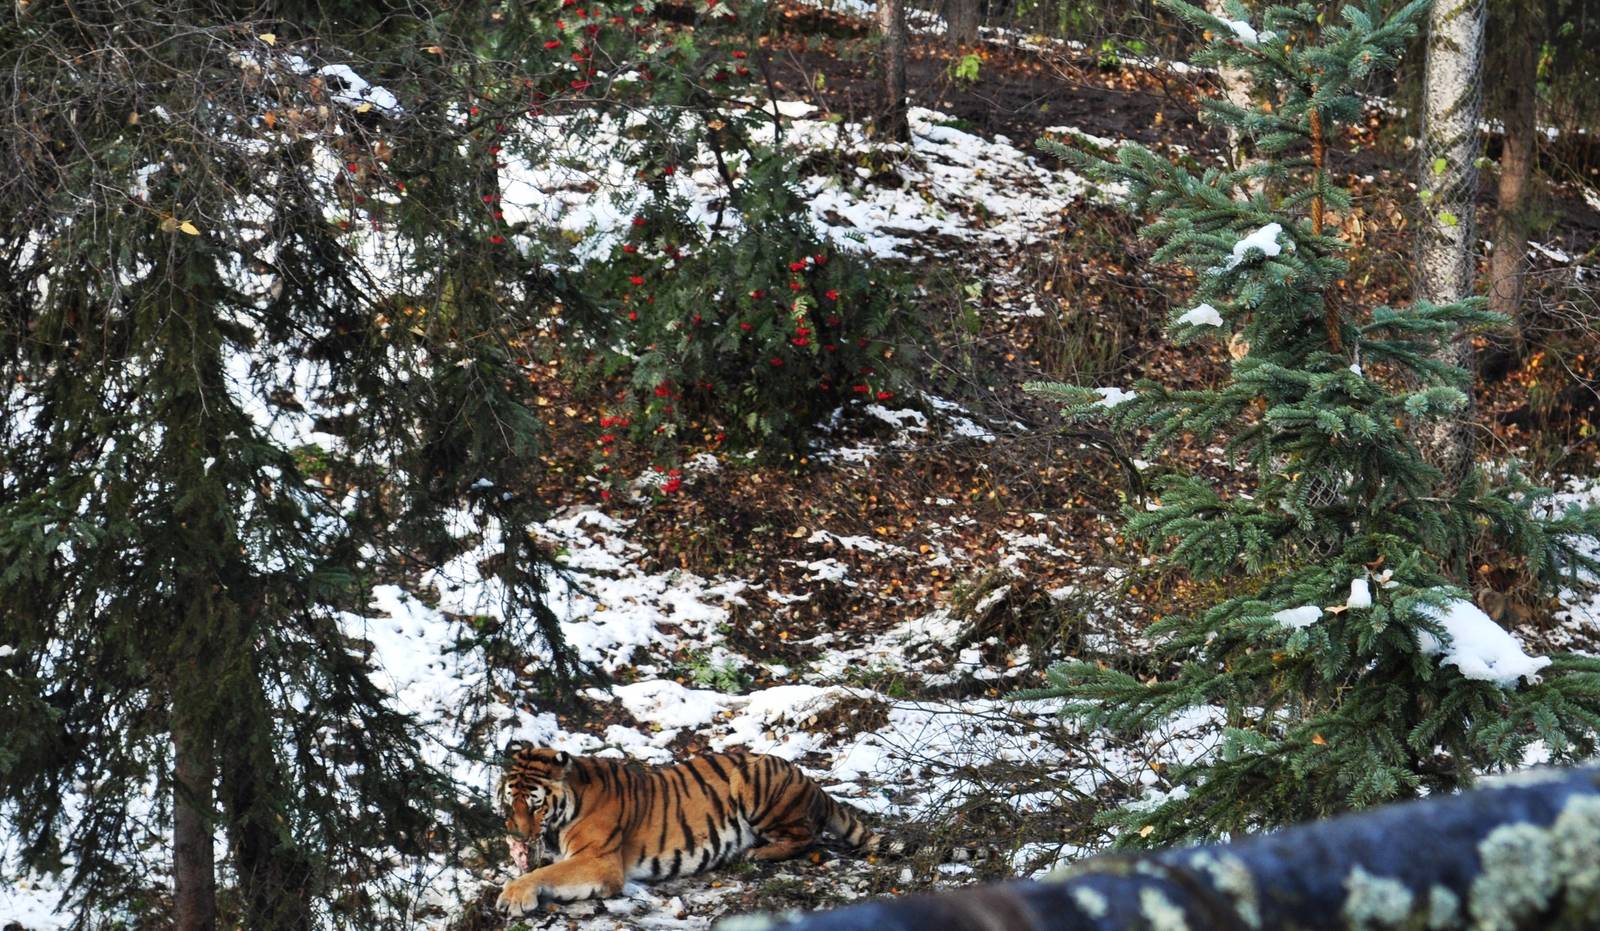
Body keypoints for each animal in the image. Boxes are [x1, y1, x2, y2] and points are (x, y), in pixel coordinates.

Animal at [495, 743, 882, 914]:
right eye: (510, 802)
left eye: (536, 804)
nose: (517, 836)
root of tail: (808, 778)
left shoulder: (599, 860)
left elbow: (545, 874)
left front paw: (513, 896)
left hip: (754, 783)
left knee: (808, 836)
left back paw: (756, 852)